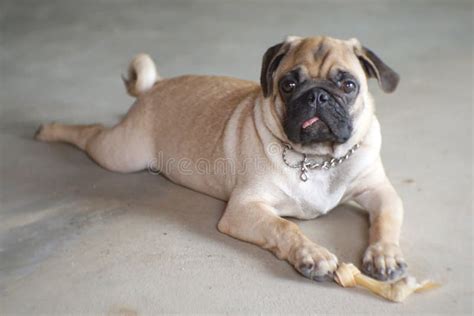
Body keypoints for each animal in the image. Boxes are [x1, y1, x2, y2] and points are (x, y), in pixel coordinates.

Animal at [36, 36, 408, 282]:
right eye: (288, 85)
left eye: (348, 85)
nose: (317, 95)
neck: (315, 158)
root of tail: (155, 86)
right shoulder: (245, 209)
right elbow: (285, 227)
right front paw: (311, 255)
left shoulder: (379, 191)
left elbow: (386, 220)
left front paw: (385, 255)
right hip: (121, 154)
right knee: (90, 133)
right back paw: (50, 129)